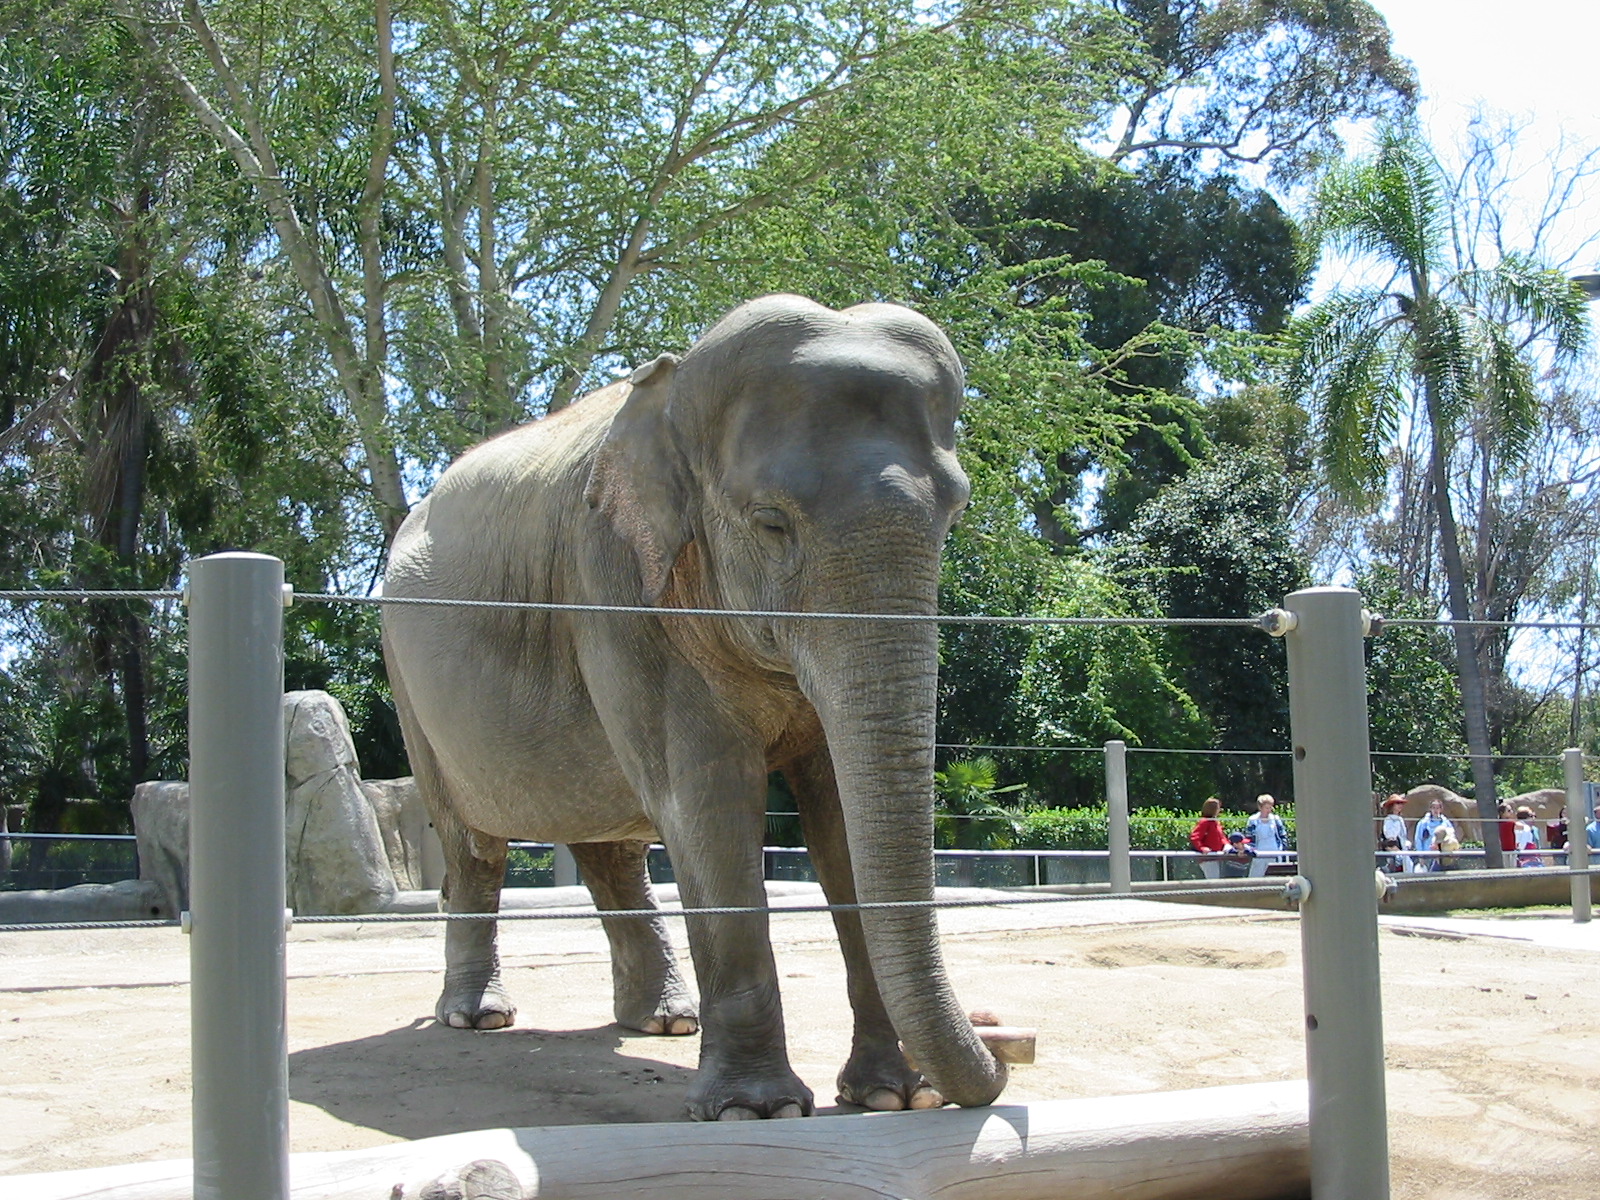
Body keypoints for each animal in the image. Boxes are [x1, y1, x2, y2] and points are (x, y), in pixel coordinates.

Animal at [381, 293, 1005, 1122]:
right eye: (771, 522)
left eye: (955, 513)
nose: (999, 1045)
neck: (673, 396)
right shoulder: (613, 584)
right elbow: (708, 801)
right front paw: (757, 1111)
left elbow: (837, 813)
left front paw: (893, 1098)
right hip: (406, 675)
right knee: (473, 845)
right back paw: (478, 1017)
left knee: (609, 841)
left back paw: (665, 1020)